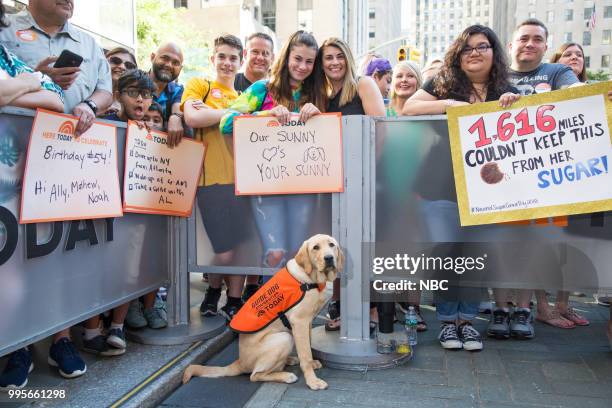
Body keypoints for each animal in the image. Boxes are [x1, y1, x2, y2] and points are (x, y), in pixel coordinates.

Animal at [182, 233, 344, 388]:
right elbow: (306, 355)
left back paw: (290, 359)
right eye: (315, 247)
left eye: (332, 245)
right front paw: (312, 381)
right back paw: (286, 376)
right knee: (255, 375)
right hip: (283, 338)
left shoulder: (307, 322)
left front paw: (313, 364)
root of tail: (240, 362)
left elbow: (308, 345)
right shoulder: (300, 322)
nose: (329, 258)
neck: (309, 279)